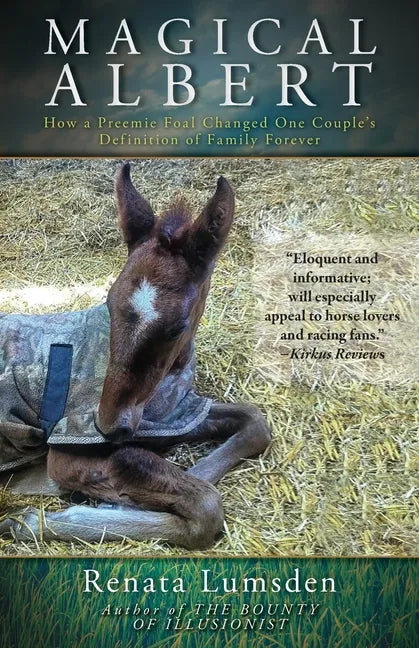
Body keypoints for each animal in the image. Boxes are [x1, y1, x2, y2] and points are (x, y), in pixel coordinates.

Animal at [0, 163, 271, 549]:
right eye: (109, 303)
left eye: (177, 326)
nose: (108, 426)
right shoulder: (68, 445)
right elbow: (204, 503)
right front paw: (33, 520)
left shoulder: (176, 414)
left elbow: (254, 423)